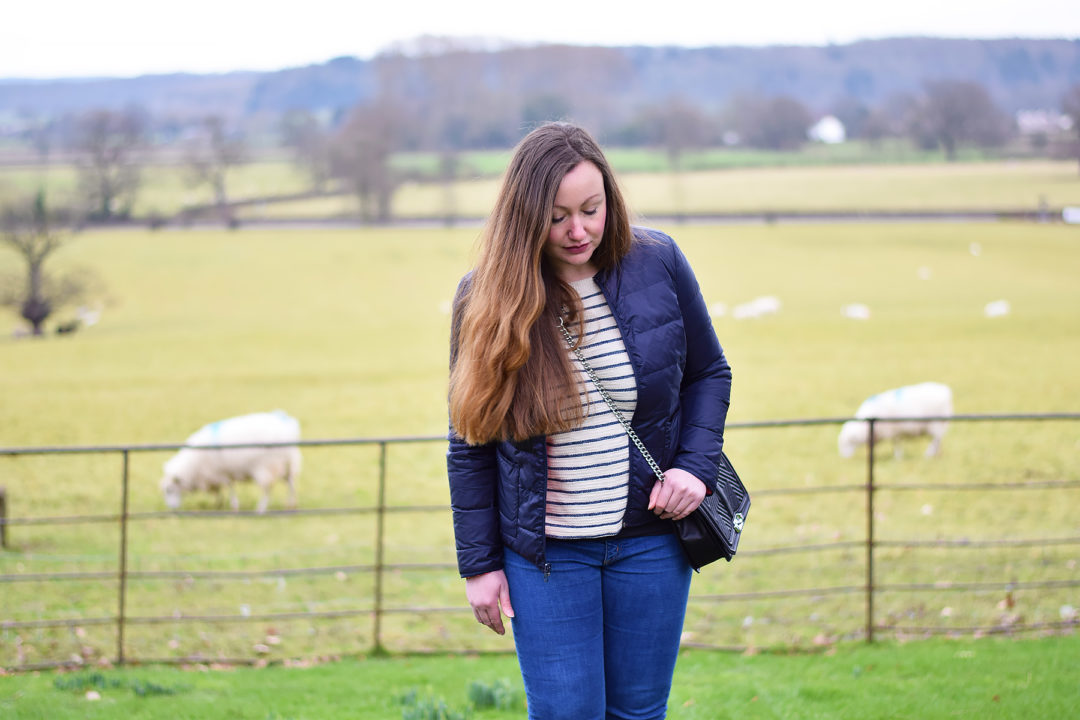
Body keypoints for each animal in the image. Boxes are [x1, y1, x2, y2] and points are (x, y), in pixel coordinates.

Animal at [157, 410, 300, 511]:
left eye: (169, 489)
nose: (172, 509)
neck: (193, 467)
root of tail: (288, 427)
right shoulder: (217, 475)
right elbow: (219, 490)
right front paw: (218, 504)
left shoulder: (222, 472)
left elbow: (229, 488)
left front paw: (233, 506)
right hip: (287, 464)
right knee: (291, 484)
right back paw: (291, 504)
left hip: (267, 467)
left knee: (267, 490)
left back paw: (261, 508)